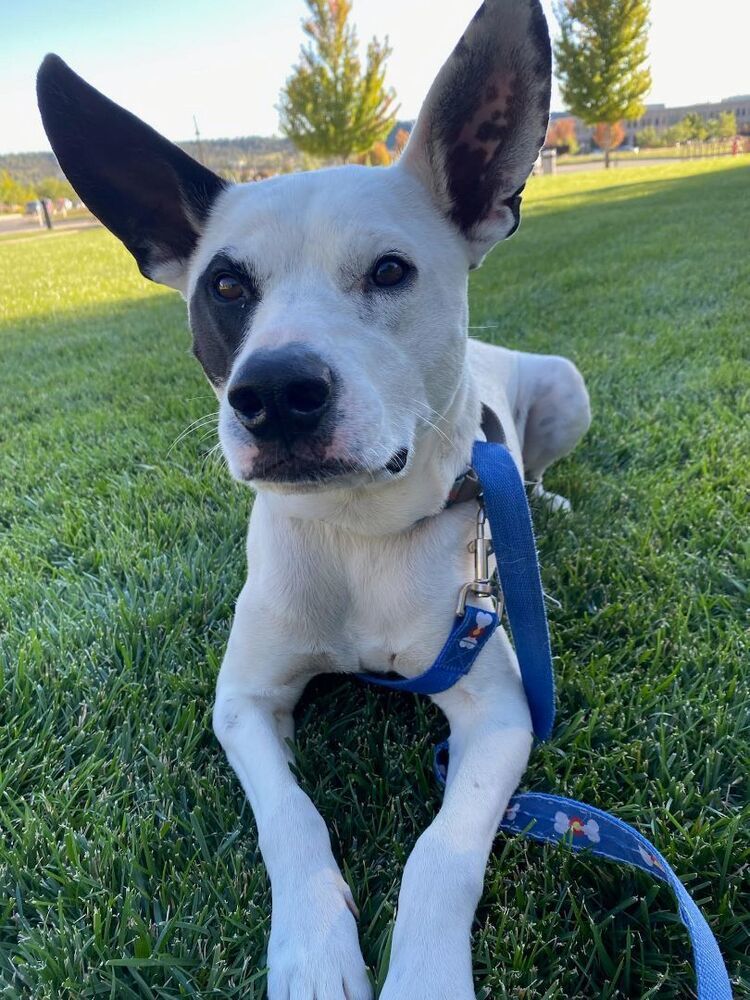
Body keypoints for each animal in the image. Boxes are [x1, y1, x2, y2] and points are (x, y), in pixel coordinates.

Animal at [39, 3, 592, 996]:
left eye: (390, 271)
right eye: (225, 284)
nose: (274, 392)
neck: (357, 532)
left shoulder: (500, 715)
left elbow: (443, 851)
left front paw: (424, 976)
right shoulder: (243, 701)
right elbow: (289, 819)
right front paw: (312, 949)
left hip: (567, 387)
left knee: (532, 472)